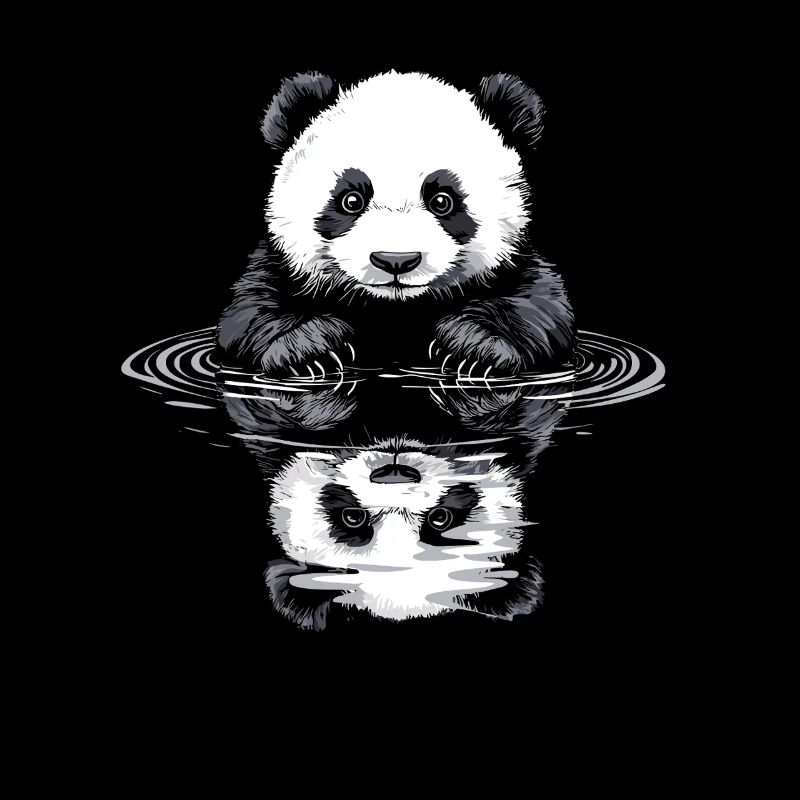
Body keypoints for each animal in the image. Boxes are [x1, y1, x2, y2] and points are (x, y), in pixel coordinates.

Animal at [217, 71, 574, 377]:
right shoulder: (278, 265)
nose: (395, 261)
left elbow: (541, 307)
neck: (394, 311)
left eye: (442, 200)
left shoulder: (518, 264)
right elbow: (248, 312)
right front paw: (308, 348)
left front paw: (476, 347)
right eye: (351, 200)